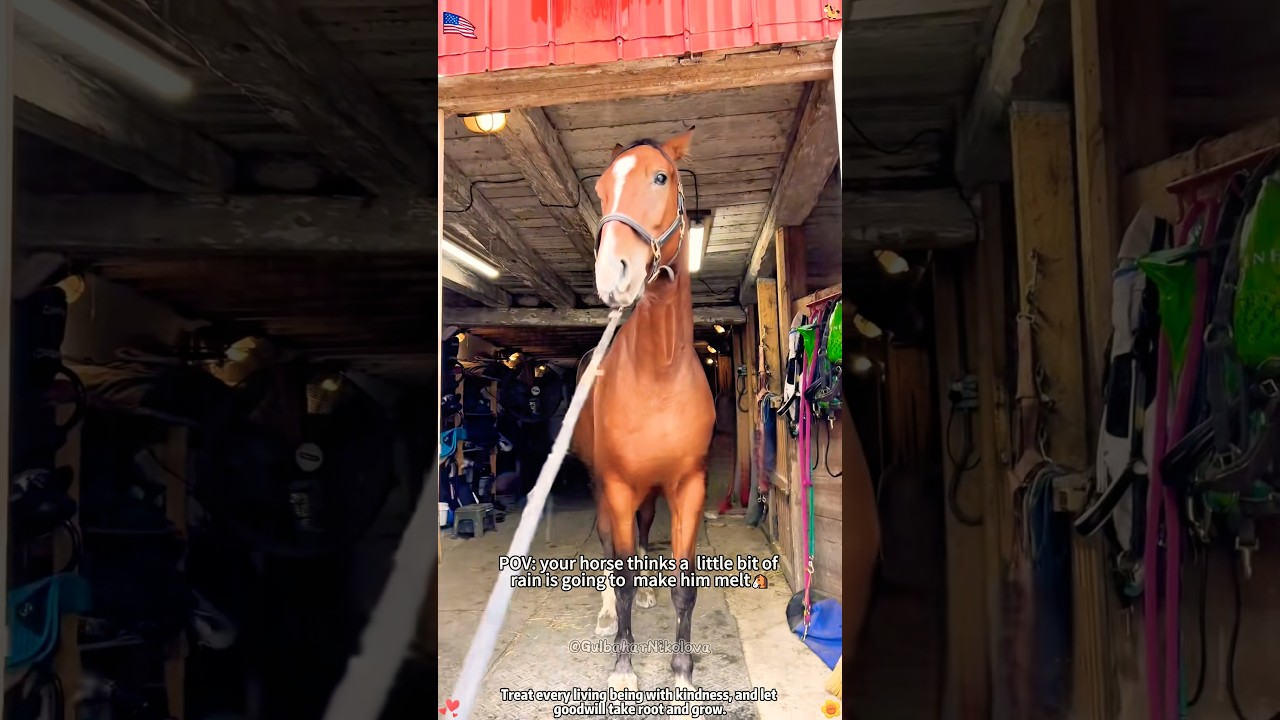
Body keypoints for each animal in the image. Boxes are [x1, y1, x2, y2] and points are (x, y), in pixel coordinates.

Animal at [571, 128, 715, 693]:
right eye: (602, 188)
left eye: (661, 177)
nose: (614, 274)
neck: (659, 374)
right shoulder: (616, 484)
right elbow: (623, 572)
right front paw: (623, 665)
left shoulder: (688, 485)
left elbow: (685, 585)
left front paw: (682, 669)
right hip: (600, 484)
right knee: (611, 546)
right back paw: (606, 612)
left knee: (642, 531)